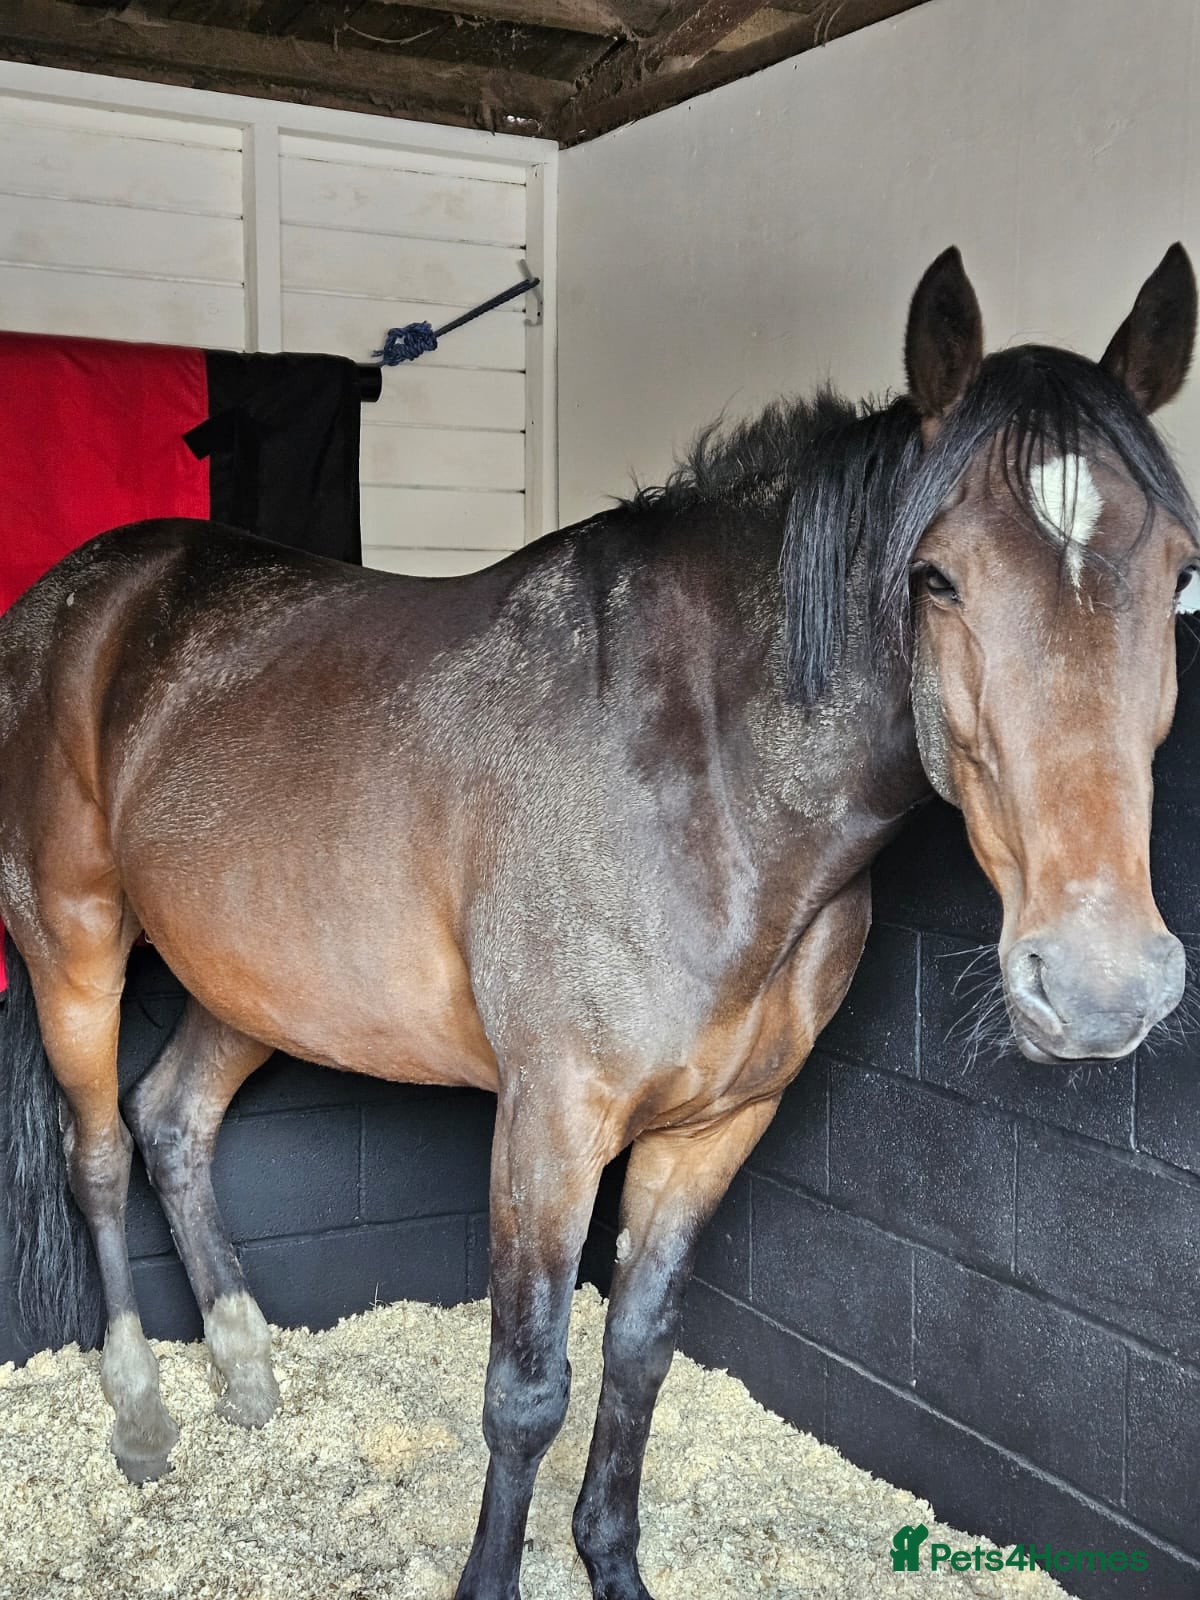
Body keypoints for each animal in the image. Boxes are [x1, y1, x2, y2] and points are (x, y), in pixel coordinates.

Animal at [1, 243, 1197, 1600]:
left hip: (255, 980)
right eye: (936, 577)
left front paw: (611, 1563)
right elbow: (528, 1391)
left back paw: (247, 1375)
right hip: (74, 946)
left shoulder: (719, 1124)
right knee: (100, 1152)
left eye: (1182, 575)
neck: (709, 782)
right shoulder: (551, 1123)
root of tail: (80, 593)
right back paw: (143, 1413)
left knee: (175, 1119)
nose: (1101, 986)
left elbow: (637, 1353)